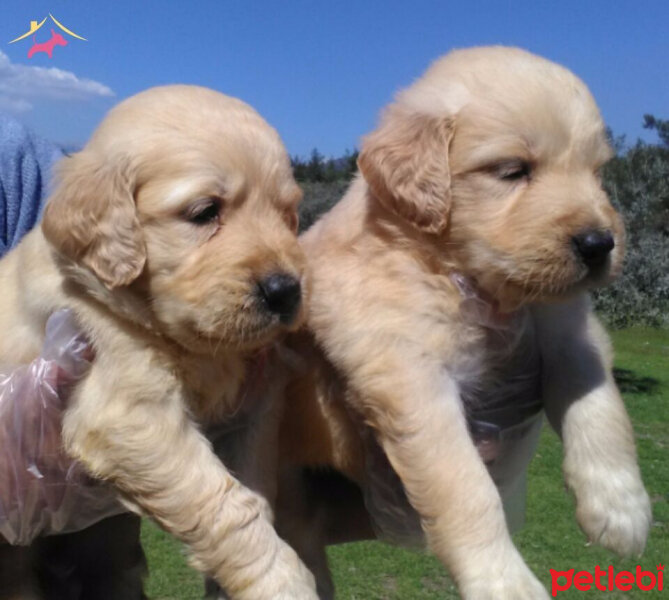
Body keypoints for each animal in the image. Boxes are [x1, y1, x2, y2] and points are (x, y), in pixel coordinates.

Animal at [0, 85, 318, 600]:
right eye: (205, 212)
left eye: (288, 214)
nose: (286, 291)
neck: (194, 346)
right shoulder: (128, 410)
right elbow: (225, 503)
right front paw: (280, 581)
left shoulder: (254, 410)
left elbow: (254, 489)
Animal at [274, 48, 648, 600]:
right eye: (512, 171)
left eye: (597, 172)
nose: (600, 244)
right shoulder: (409, 373)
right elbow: (466, 486)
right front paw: (503, 580)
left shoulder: (568, 328)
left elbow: (599, 400)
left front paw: (620, 505)